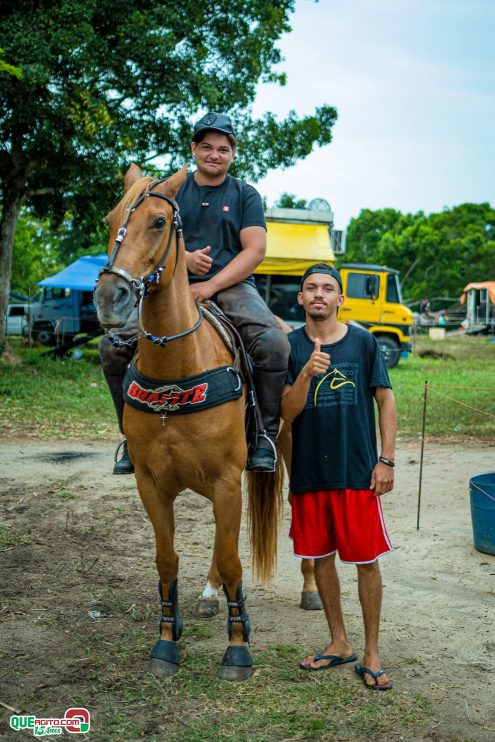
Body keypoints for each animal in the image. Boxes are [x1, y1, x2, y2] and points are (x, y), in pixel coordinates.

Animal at [94, 166, 282, 684]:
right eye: (111, 219)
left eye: (159, 222)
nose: (109, 298)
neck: (177, 368)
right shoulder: (151, 484)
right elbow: (167, 560)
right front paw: (166, 640)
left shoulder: (226, 480)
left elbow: (234, 561)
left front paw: (238, 649)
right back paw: (207, 595)